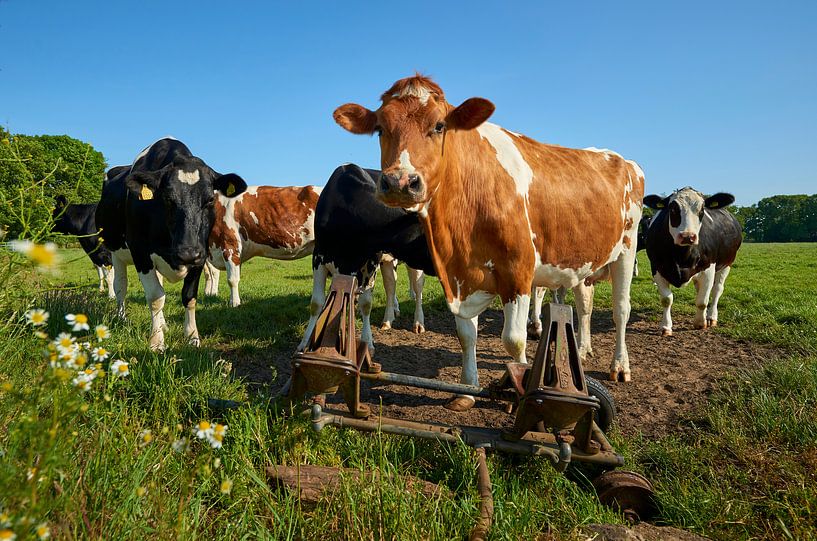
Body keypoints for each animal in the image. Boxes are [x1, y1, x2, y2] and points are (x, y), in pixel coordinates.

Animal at [96, 137, 247, 350]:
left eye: (210, 199)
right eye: (167, 198)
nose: (187, 253)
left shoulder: (200, 254)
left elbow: (189, 296)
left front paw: (192, 336)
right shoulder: (141, 253)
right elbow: (155, 297)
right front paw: (156, 342)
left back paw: (163, 324)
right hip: (116, 251)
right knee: (120, 286)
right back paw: (122, 317)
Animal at [297, 164, 435, 354]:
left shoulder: (371, 261)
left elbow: (366, 303)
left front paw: (367, 343)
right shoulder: (319, 257)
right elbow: (318, 303)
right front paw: (306, 342)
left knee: (418, 288)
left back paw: (418, 323)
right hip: (388, 261)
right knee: (391, 285)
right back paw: (388, 320)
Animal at [333, 75, 644, 410]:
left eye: (439, 125)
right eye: (380, 128)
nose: (400, 182)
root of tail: (620, 158)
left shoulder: (517, 272)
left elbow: (514, 339)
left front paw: (521, 392)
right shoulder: (461, 275)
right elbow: (466, 334)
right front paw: (467, 390)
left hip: (626, 250)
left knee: (621, 309)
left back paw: (620, 366)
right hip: (583, 260)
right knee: (584, 306)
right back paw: (584, 352)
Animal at [643, 187, 741, 336]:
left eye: (702, 209)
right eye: (672, 209)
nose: (687, 236)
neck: (681, 256)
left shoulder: (709, 269)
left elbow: (702, 301)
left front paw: (700, 323)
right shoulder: (656, 267)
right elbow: (666, 299)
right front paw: (666, 327)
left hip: (727, 264)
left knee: (716, 290)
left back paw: (711, 317)